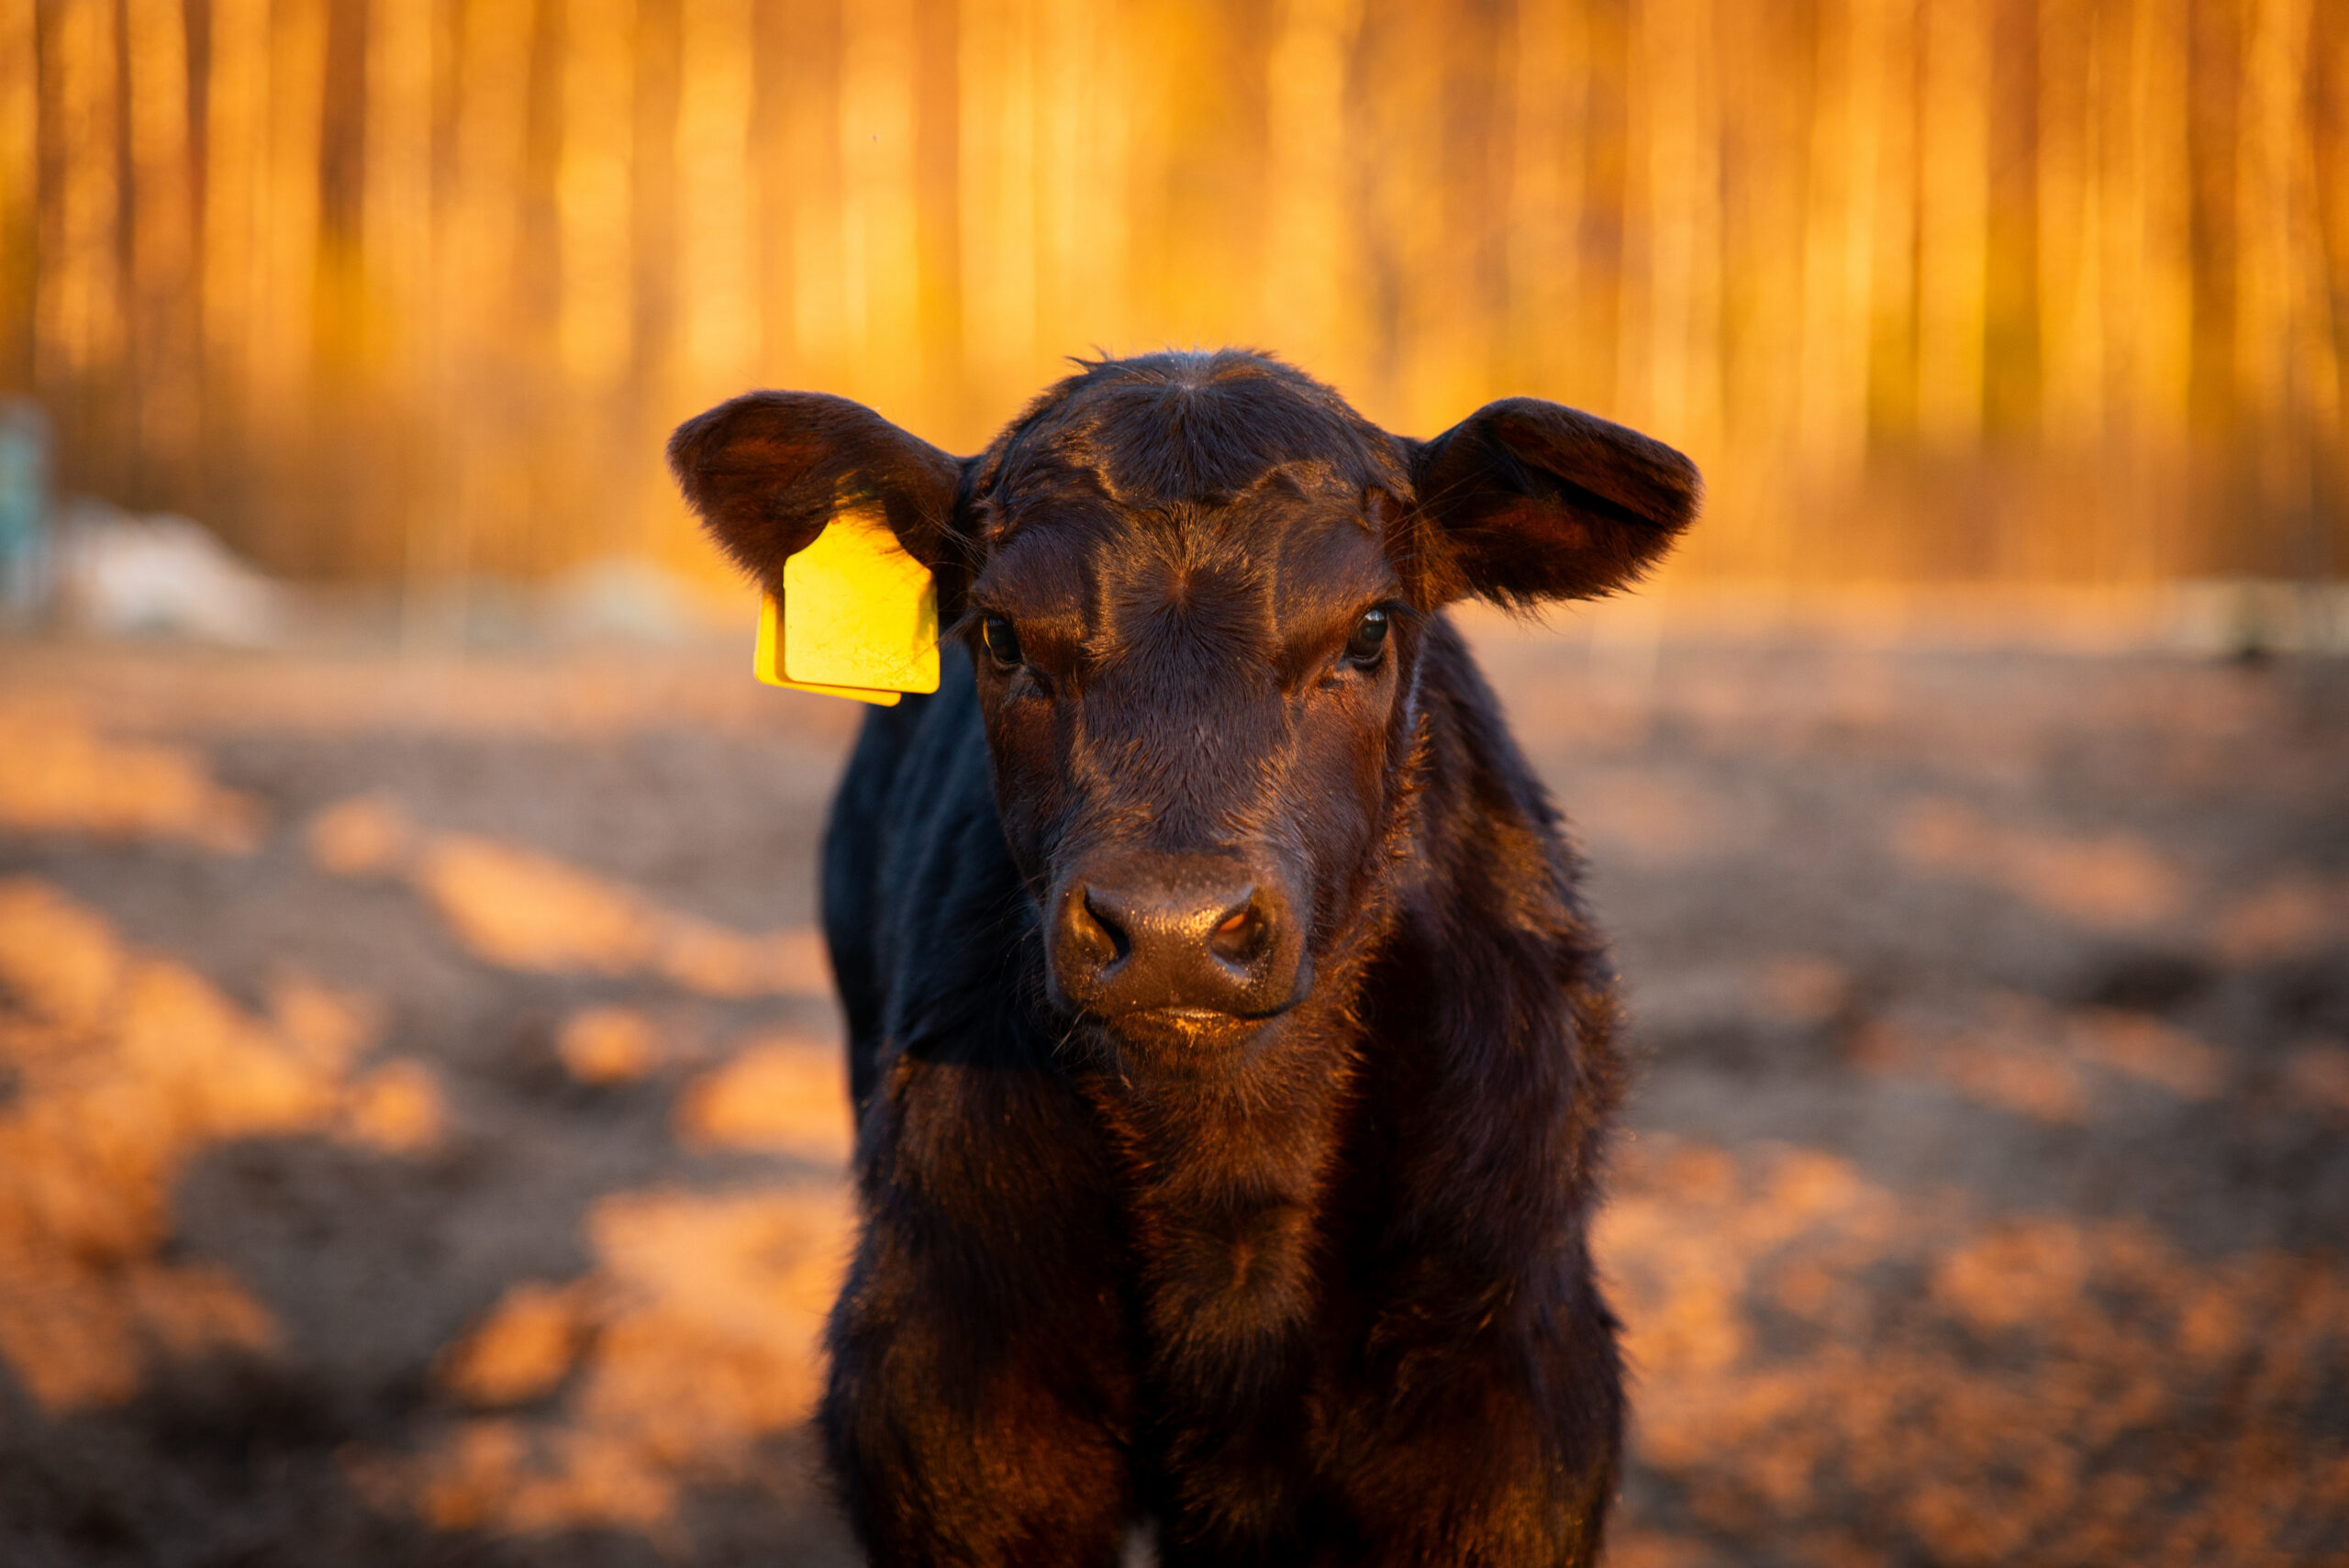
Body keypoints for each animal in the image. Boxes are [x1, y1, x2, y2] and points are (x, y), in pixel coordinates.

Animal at [668, 349, 1699, 1566]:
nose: (1171, 929)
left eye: (1370, 628)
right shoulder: (953, 1416)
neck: (1230, 1191)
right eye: (1000, 635)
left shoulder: (1509, 1427)